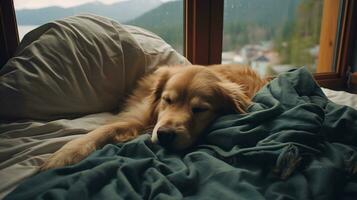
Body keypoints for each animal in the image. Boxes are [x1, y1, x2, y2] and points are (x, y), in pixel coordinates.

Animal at [40, 64, 266, 170]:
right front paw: (65, 155)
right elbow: (104, 129)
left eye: (200, 109)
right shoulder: (140, 118)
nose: (165, 134)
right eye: (167, 100)